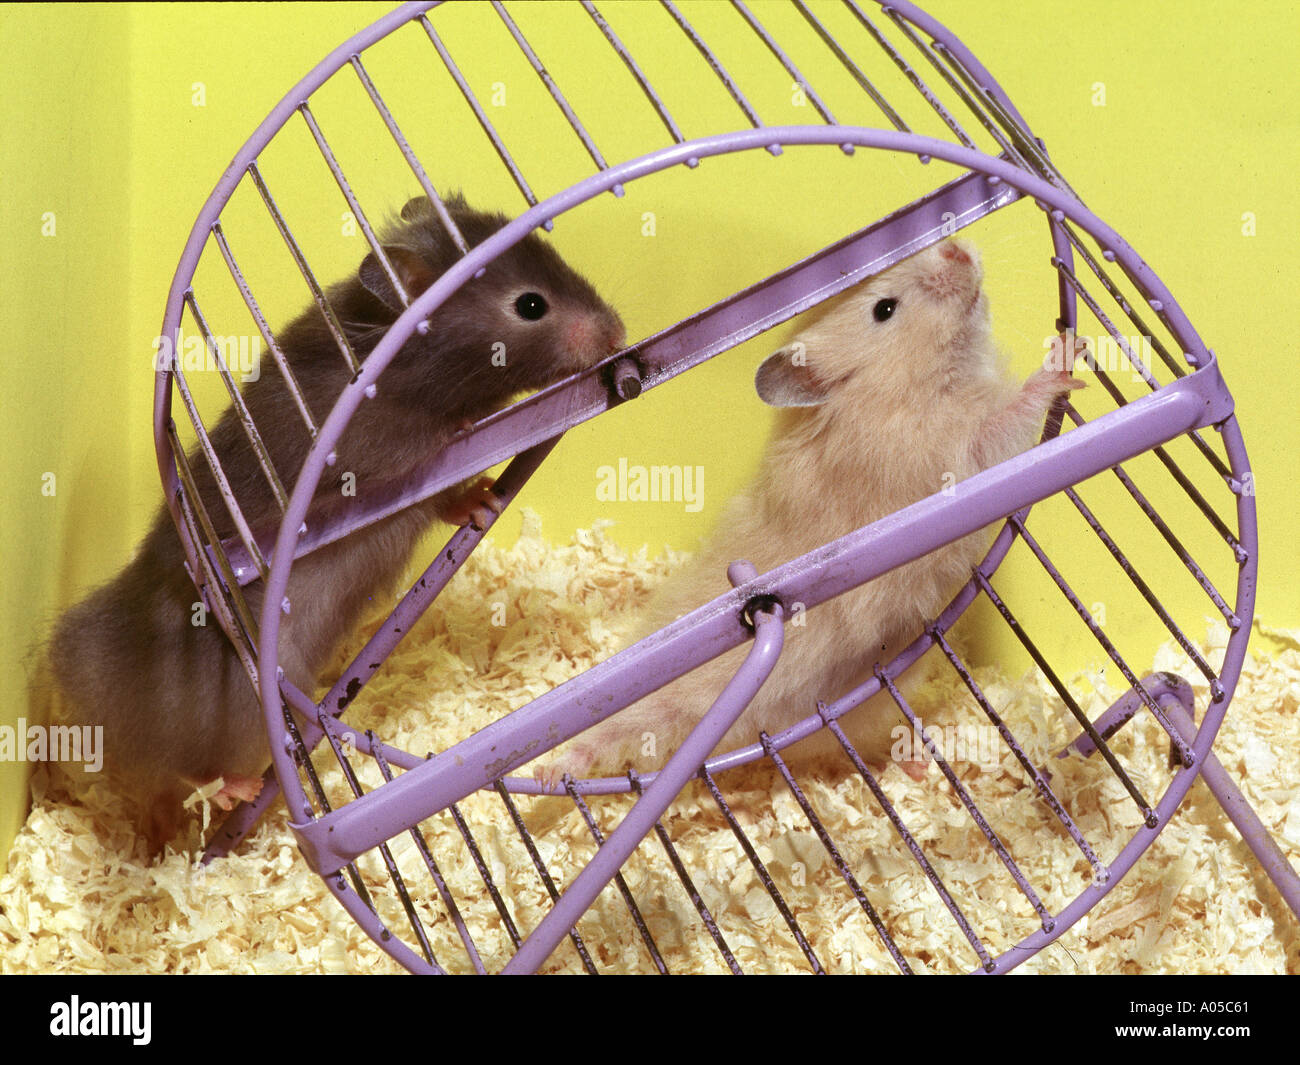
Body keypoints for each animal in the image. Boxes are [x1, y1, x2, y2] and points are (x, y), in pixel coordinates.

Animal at [48, 193, 625, 853]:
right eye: (531, 305)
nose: (620, 331)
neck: (400, 363)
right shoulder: (386, 458)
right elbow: (435, 469)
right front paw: (471, 470)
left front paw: (485, 501)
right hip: (231, 700)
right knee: (178, 769)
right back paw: (233, 792)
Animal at [534, 238, 1083, 788]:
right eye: (884, 309)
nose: (957, 250)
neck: (892, 390)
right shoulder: (956, 452)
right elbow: (1008, 417)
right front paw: (1067, 358)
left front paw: (1074, 344)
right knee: (606, 733)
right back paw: (550, 773)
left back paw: (915, 762)